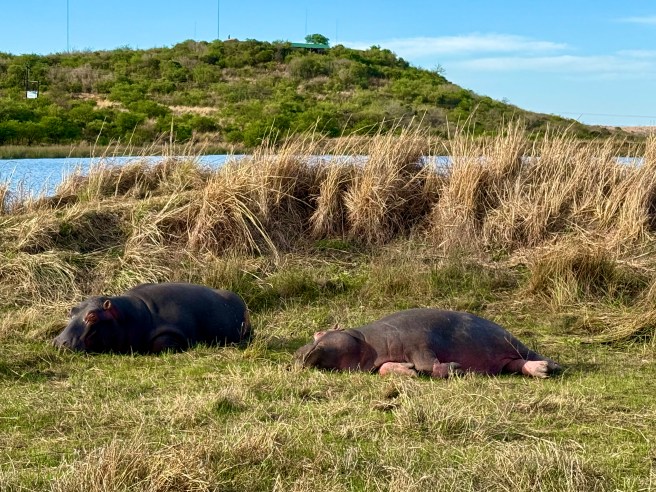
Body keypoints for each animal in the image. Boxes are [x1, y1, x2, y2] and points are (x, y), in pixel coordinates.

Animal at [294, 308, 560, 378]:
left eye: (319, 334)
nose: (297, 353)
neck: (364, 341)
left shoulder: (419, 344)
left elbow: (427, 363)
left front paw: (456, 368)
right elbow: (385, 369)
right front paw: (408, 372)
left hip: (508, 340)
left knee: (531, 354)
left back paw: (551, 367)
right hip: (505, 357)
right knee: (516, 364)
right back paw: (542, 371)